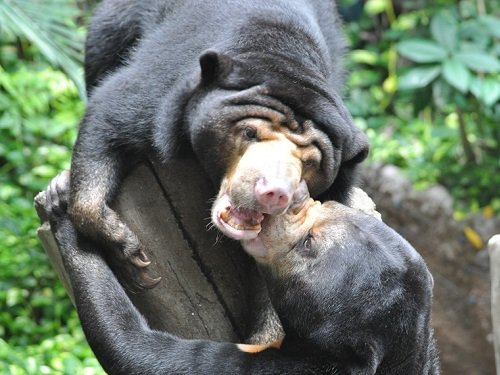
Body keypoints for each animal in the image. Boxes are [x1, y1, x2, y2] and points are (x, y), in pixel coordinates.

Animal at [68, 0, 370, 290]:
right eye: (249, 132)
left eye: (310, 163)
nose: (274, 193)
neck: (283, 56)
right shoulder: (162, 89)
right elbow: (109, 114)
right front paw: (126, 252)